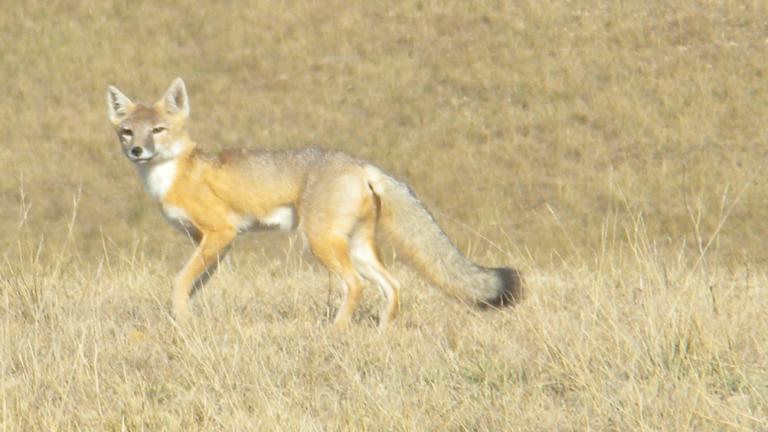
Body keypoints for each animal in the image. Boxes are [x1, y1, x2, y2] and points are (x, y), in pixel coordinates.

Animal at [106, 78, 522, 330]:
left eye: (157, 130)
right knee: (393, 286)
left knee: (356, 286)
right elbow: (192, 285)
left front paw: (181, 323)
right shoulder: (210, 243)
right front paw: (186, 322)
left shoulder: (220, 234)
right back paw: (381, 335)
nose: (137, 150)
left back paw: (336, 331)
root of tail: (360, 163)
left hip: (322, 242)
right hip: (356, 247)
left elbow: (179, 282)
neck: (173, 173)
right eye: (127, 132)